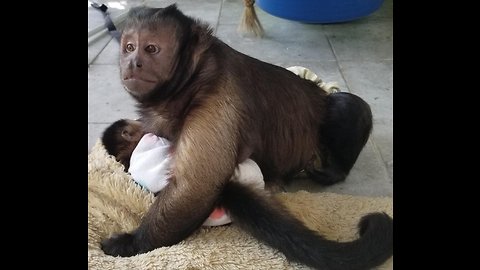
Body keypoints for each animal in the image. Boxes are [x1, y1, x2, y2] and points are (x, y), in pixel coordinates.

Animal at [99, 4, 392, 270]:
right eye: (129, 47)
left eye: (151, 49)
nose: (133, 62)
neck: (188, 83)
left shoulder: (217, 96)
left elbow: (196, 186)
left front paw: (129, 244)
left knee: (345, 105)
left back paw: (332, 170)